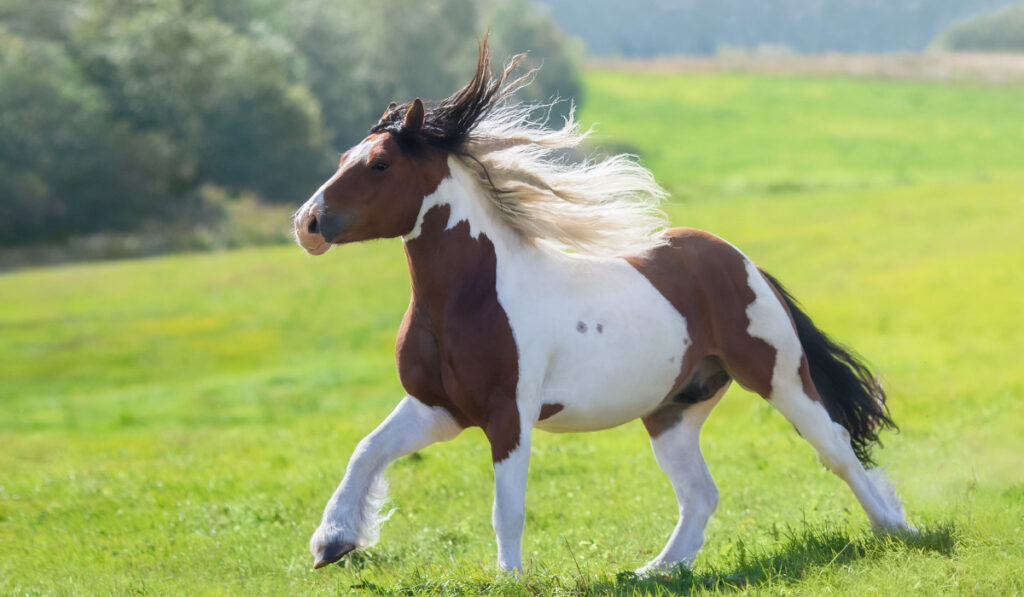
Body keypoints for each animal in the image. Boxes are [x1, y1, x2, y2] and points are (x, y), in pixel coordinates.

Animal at [292, 41, 909, 573]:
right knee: (701, 494)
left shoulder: (508, 414)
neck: (470, 298)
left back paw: (900, 530)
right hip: (673, 410)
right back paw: (656, 571)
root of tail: (740, 262)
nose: (308, 223)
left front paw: (508, 578)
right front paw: (332, 543)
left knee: (837, 449)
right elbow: (366, 450)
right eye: (344, 156)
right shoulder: (437, 408)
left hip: (778, 377)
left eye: (380, 165)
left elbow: (506, 508)